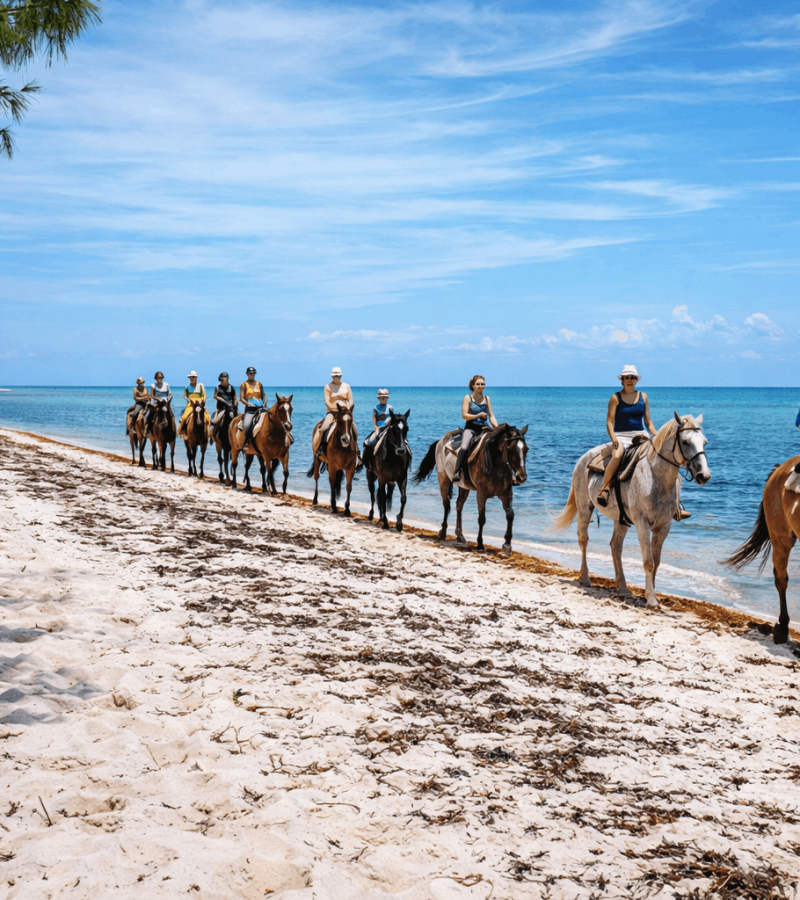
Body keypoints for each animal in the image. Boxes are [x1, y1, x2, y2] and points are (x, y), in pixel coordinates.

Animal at [413, 423, 529, 556]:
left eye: (526, 449)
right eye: (510, 449)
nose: (521, 477)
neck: (496, 465)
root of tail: (441, 441)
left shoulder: (506, 493)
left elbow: (510, 515)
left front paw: (507, 545)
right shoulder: (481, 494)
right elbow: (482, 518)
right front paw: (480, 544)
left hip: (464, 487)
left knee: (459, 505)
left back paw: (460, 535)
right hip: (443, 480)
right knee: (447, 505)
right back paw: (442, 532)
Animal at [552, 413, 711, 609]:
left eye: (704, 442)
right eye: (685, 441)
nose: (704, 475)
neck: (656, 479)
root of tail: (584, 458)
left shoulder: (664, 527)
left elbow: (656, 561)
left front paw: (651, 594)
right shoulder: (642, 525)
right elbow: (648, 561)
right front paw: (651, 599)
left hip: (620, 520)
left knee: (615, 546)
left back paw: (622, 588)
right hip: (584, 508)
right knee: (583, 540)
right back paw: (585, 578)